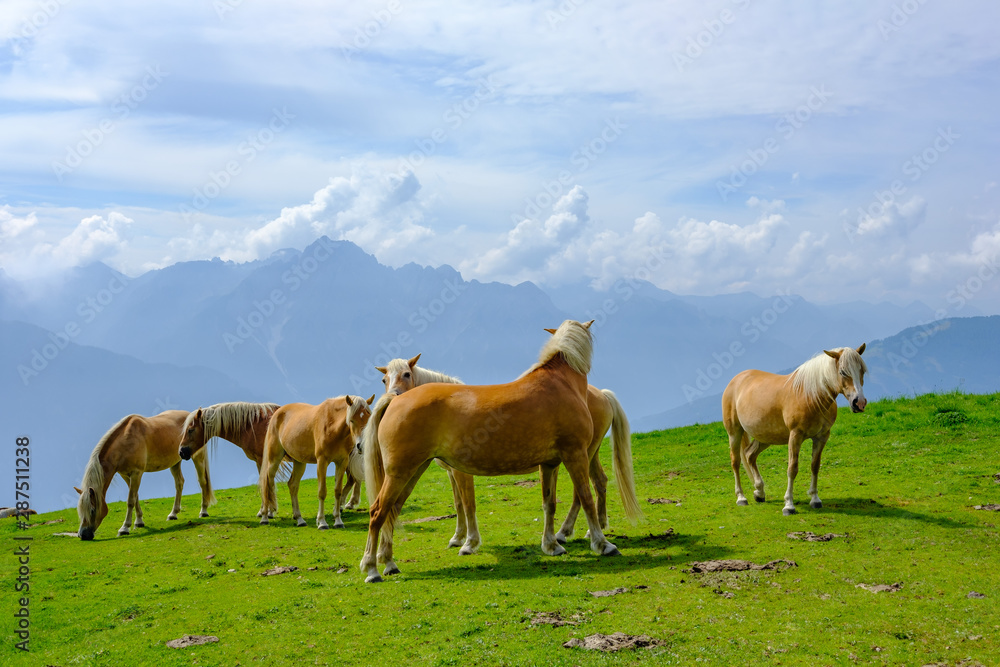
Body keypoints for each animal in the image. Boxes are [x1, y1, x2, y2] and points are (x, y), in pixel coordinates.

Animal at [73, 410, 215, 540]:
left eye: (92, 510)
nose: (83, 535)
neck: (125, 440)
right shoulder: (126, 475)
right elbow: (135, 497)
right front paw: (139, 522)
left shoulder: (136, 473)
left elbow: (130, 500)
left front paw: (124, 528)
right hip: (175, 463)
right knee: (179, 483)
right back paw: (173, 514)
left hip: (198, 457)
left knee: (202, 481)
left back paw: (203, 511)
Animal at [262, 394, 376, 528]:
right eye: (352, 420)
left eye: (368, 419)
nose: (361, 446)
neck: (332, 427)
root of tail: (277, 413)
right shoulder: (322, 462)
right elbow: (322, 492)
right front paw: (322, 522)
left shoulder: (342, 462)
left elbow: (338, 491)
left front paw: (338, 521)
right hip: (274, 459)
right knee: (268, 483)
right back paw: (265, 516)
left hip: (299, 462)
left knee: (293, 485)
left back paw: (299, 519)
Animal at [360, 320, 636, 580]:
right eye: (385, 379)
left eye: (407, 374)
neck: (561, 384)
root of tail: (396, 400)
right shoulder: (573, 454)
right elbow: (585, 498)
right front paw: (603, 545)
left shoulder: (550, 464)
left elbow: (549, 503)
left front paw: (551, 545)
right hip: (401, 473)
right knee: (378, 512)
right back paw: (373, 568)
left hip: (412, 471)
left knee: (392, 510)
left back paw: (388, 563)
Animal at [720, 344, 868, 516]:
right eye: (843, 372)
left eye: (862, 371)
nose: (859, 403)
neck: (810, 395)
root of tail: (737, 380)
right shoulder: (795, 436)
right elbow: (792, 468)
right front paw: (789, 505)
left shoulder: (821, 437)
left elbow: (815, 466)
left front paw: (815, 499)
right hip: (734, 433)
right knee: (736, 461)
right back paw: (741, 498)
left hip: (765, 437)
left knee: (750, 455)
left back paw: (760, 493)